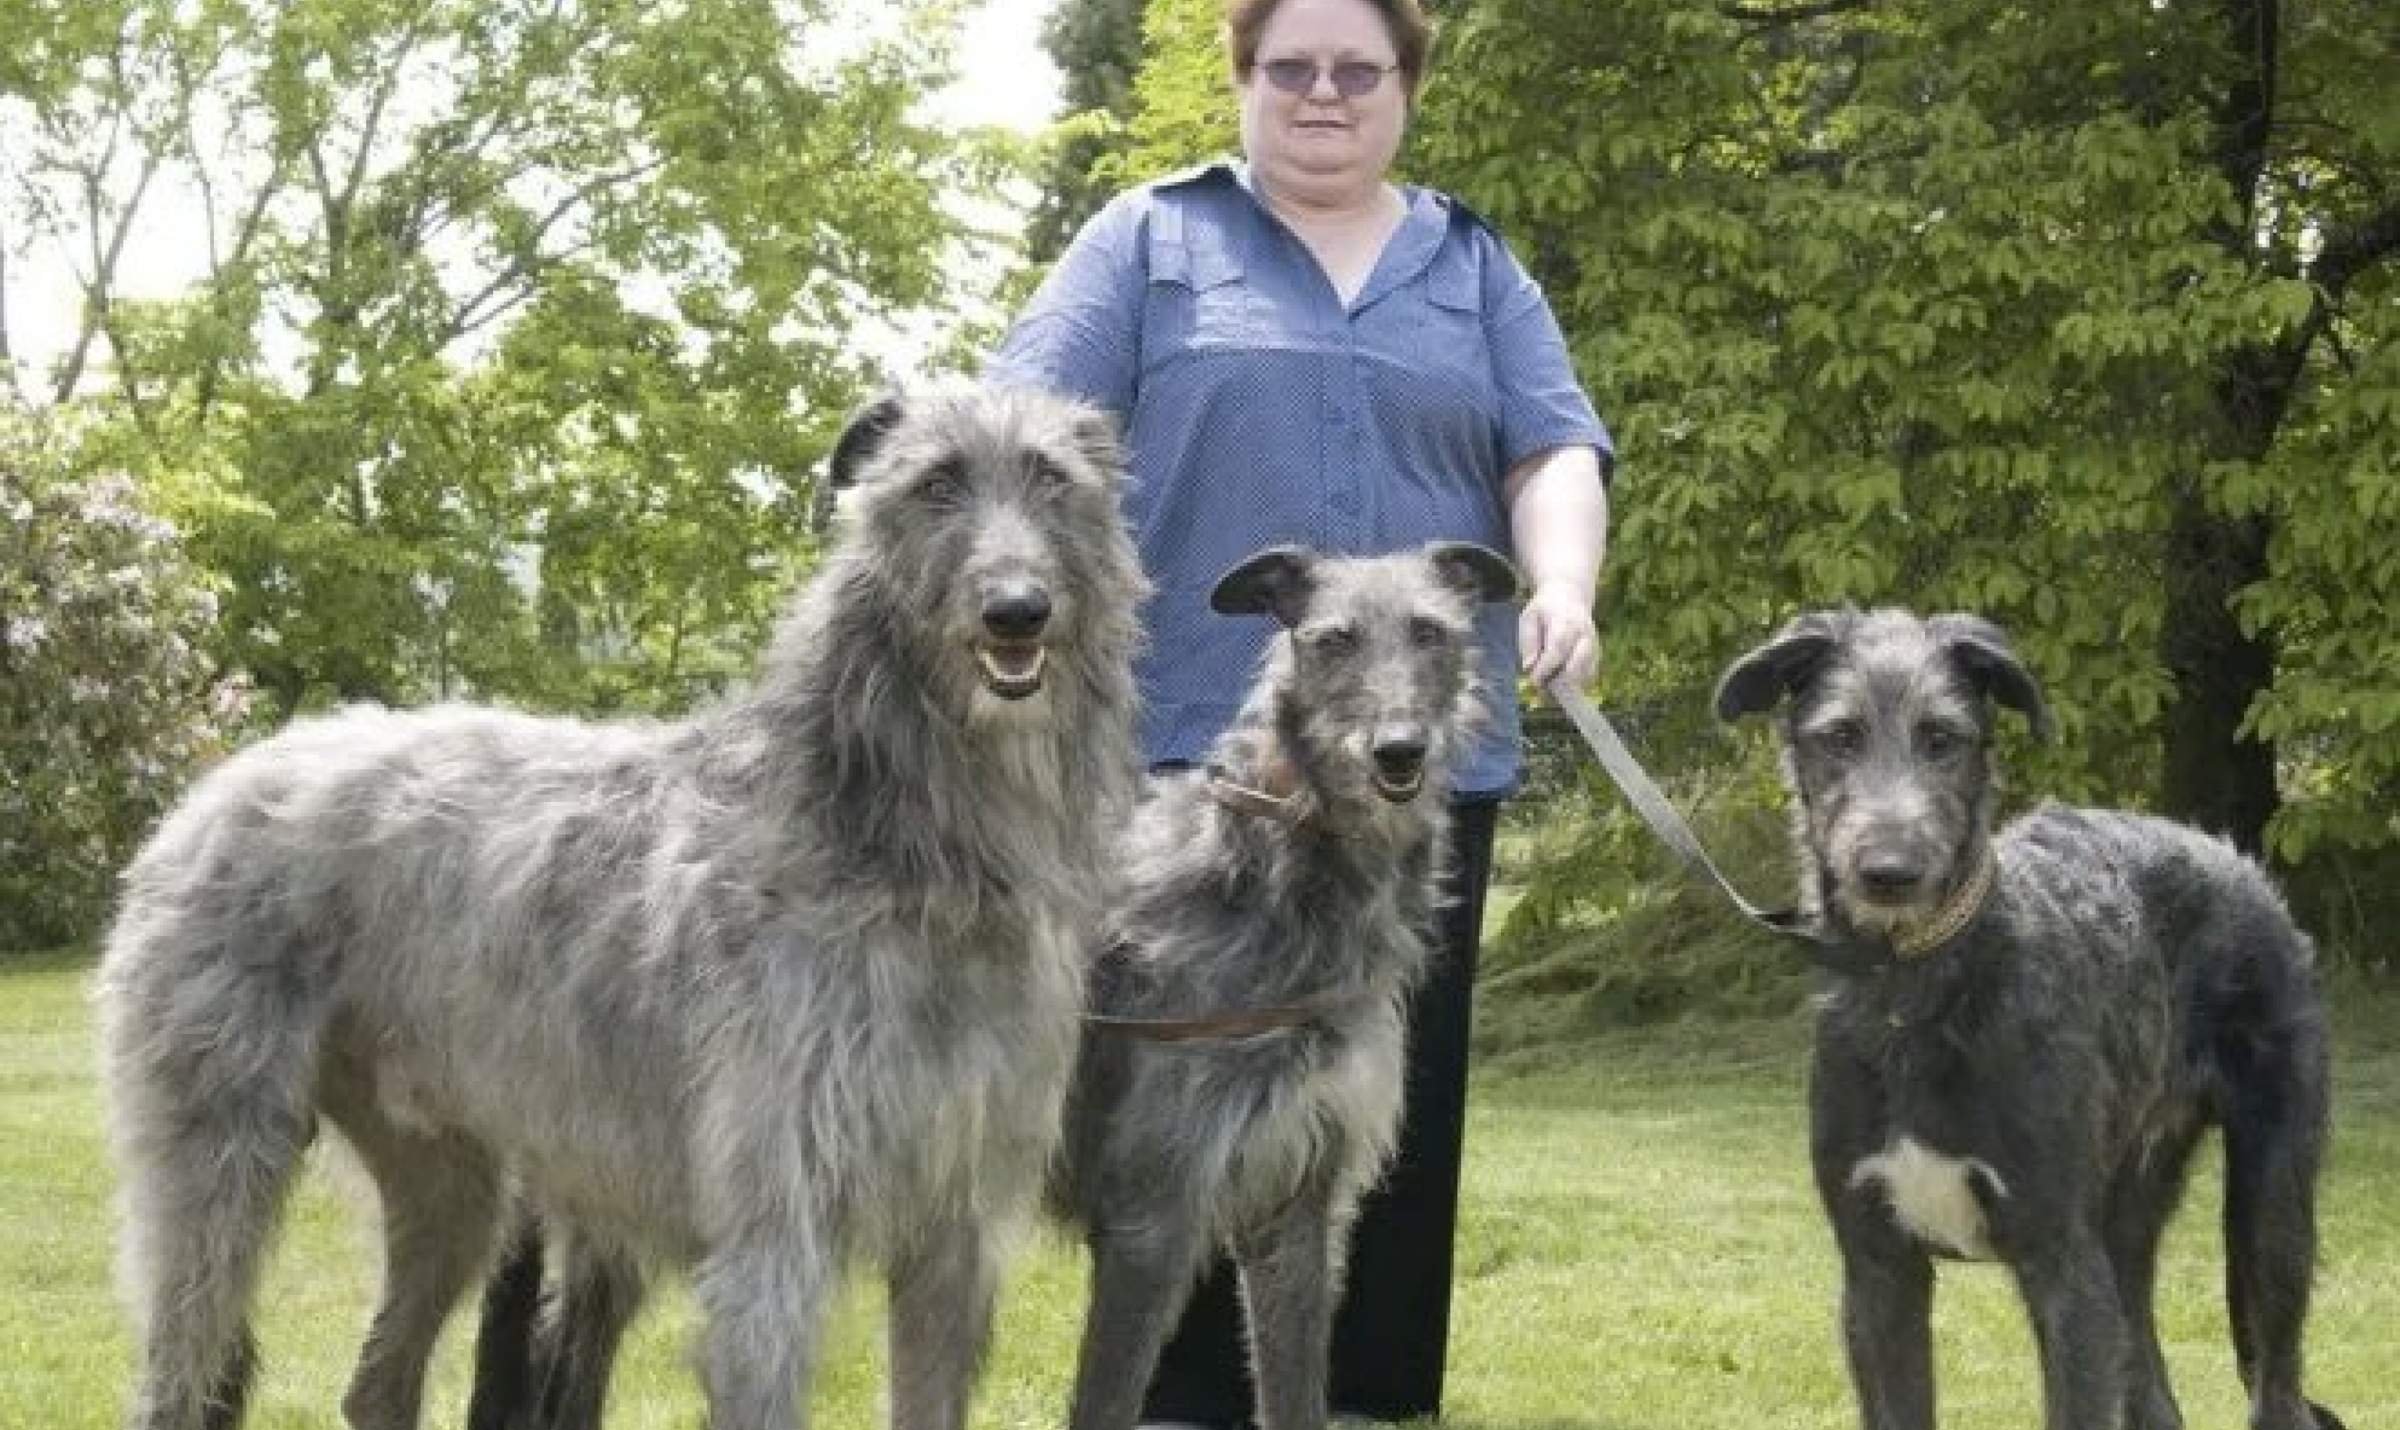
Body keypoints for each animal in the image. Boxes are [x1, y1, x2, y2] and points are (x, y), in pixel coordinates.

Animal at [110, 388, 1152, 1430]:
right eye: (937, 483)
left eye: (1051, 478)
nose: (1017, 611)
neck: (910, 848)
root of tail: (217, 783)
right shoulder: (772, 1235)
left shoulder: (955, 1231)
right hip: (216, 1163)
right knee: (181, 1361)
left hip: (446, 1178)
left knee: (377, 1379)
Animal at [1728, 607, 2342, 1430]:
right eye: (1840, 736)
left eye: (1943, 738)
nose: (1889, 873)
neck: (1917, 992)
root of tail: (2244, 868)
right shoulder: (1877, 1271)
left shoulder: (2063, 1269)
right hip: (2124, 1223)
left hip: (2271, 1206)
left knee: (2276, 1377)